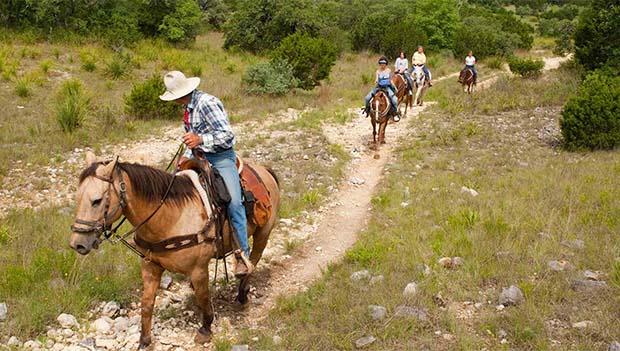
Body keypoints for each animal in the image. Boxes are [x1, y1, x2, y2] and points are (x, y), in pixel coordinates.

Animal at [69, 153, 280, 350]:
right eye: (77, 199)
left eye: (96, 201)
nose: (77, 244)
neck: (170, 218)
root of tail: (265, 170)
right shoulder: (150, 266)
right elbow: (146, 304)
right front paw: (144, 340)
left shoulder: (198, 269)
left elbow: (203, 298)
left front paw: (205, 329)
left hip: (263, 234)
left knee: (253, 260)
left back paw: (243, 293)